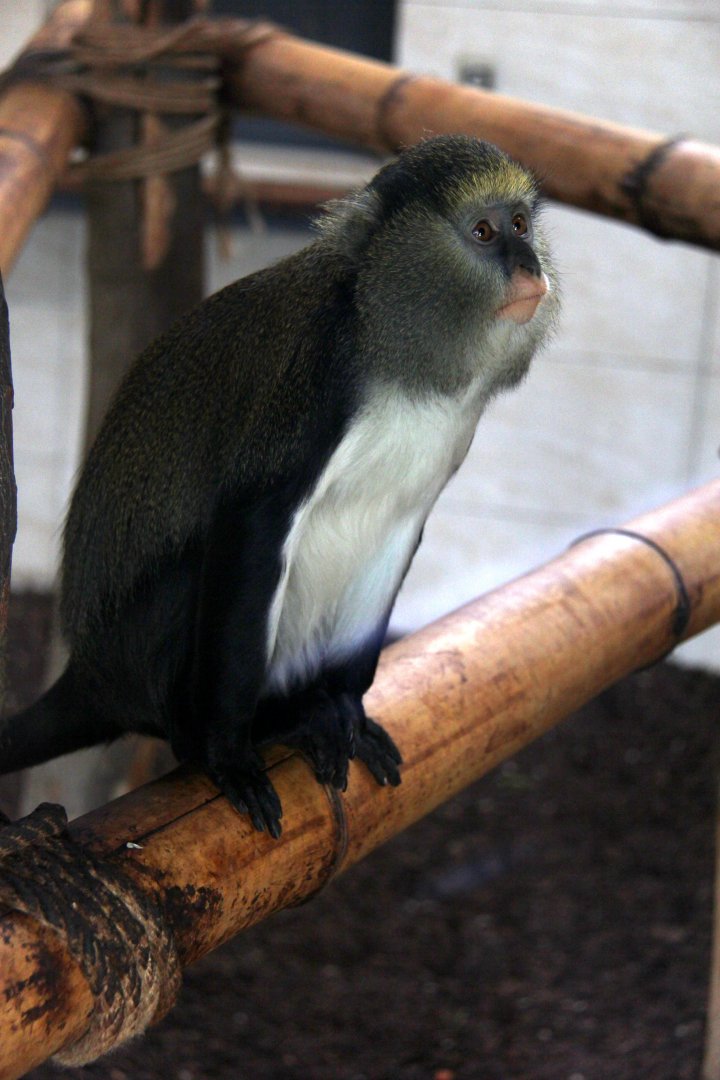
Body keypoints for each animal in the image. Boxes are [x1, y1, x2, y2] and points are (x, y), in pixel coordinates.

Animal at [0, 135, 559, 838]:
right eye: (483, 233)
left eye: (520, 225)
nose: (528, 265)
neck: (394, 348)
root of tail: (91, 675)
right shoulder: (316, 384)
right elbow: (251, 521)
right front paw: (228, 752)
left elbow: (397, 532)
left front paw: (348, 706)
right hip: (139, 654)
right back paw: (256, 725)